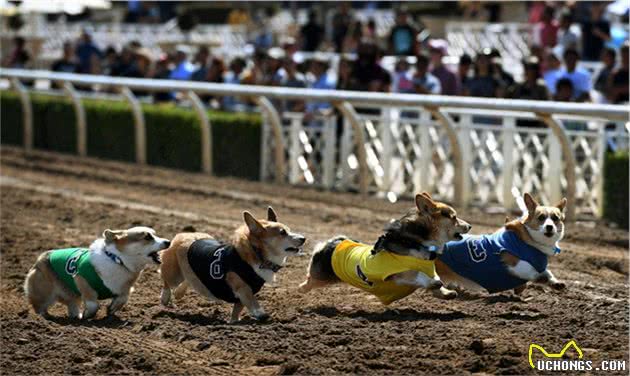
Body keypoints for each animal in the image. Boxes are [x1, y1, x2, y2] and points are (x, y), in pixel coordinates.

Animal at [25, 228, 170, 318]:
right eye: (147, 236)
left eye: (155, 234)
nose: (168, 242)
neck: (118, 260)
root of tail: (40, 259)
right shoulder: (81, 279)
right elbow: (93, 303)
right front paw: (88, 314)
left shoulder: (125, 289)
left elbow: (123, 298)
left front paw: (111, 309)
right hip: (44, 294)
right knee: (38, 307)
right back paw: (42, 319)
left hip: (71, 296)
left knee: (72, 306)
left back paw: (75, 317)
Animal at [158, 207, 306, 322]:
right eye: (282, 232)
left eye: (289, 230)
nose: (304, 238)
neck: (257, 253)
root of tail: (183, 234)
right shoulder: (242, 286)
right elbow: (252, 299)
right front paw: (261, 313)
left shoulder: (240, 298)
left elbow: (237, 311)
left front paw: (234, 322)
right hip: (174, 274)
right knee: (166, 281)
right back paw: (165, 297)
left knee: (189, 280)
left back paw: (179, 292)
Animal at [302, 192, 474, 304]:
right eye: (453, 217)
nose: (470, 226)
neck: (415, 242)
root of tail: (332, 243)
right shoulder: (397, 273)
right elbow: (418, 274)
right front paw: (434, 283)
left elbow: (436, 281)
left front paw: (446, 292)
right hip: (319, 278)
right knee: (306, 283)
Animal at [440, 194, 568, 294]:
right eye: (541, 217)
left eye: (555, 218)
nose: (549, 227)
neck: (529, 241)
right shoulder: (512, 260)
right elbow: (530, 268)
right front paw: (540, 278)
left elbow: (547, 271)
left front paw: (555, 282)